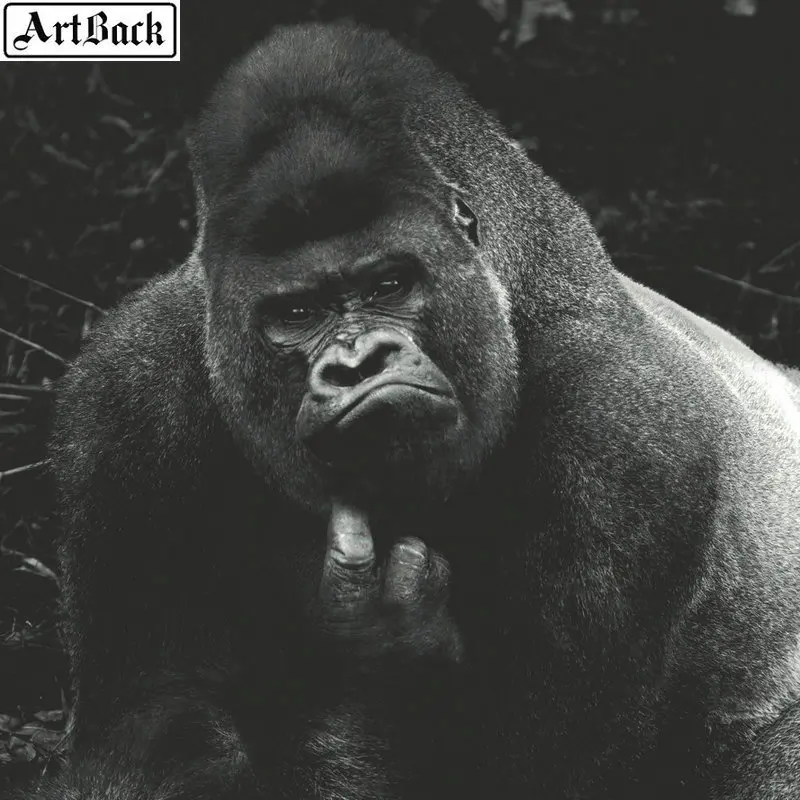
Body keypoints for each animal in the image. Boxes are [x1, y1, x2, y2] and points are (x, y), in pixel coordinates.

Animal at [15, 20, 800, 800]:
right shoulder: (123, 403)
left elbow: (529, 768)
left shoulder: (628, 437)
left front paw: (383, 651)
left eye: (389, 284)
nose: (360, 363)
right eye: (297, 313)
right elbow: (156, 736)